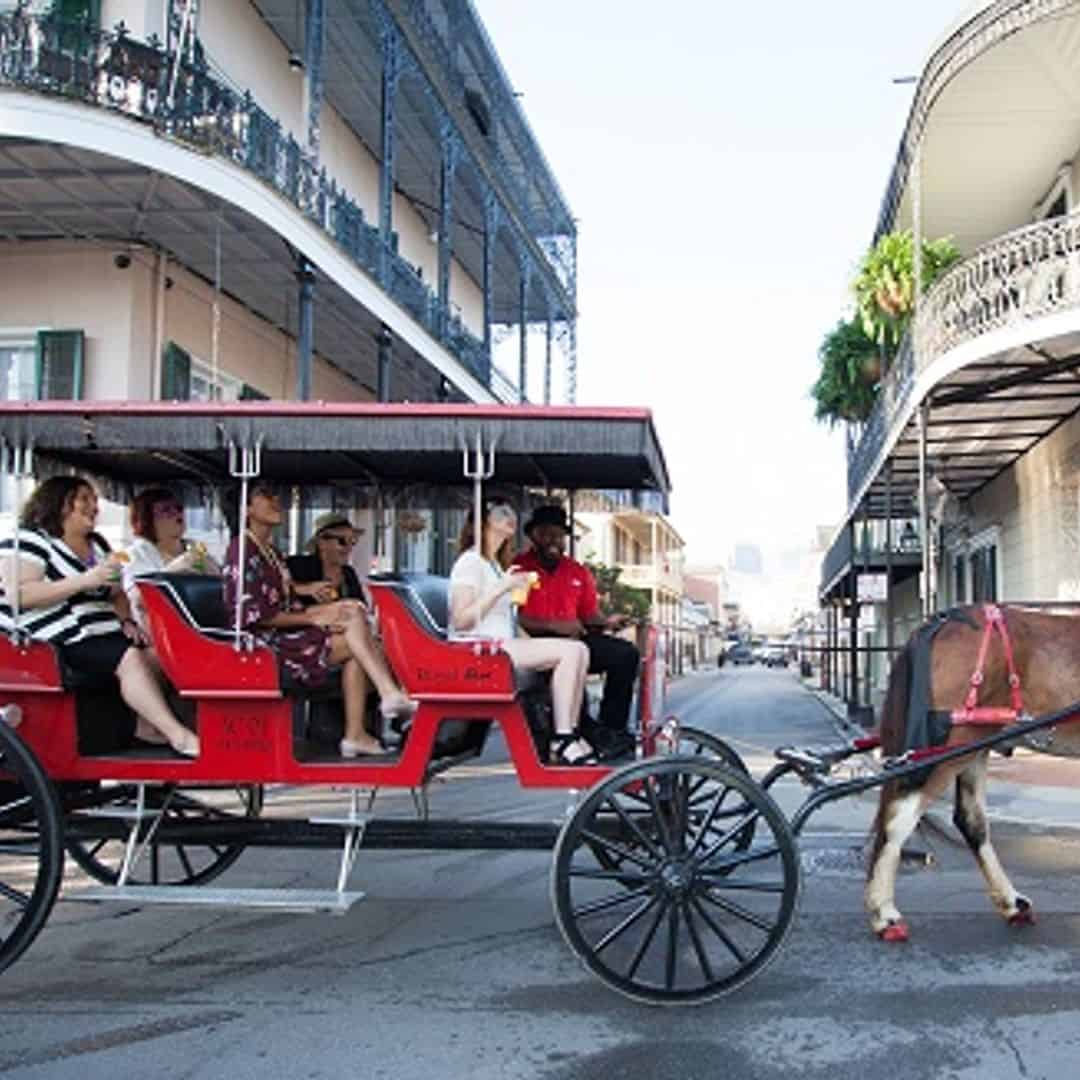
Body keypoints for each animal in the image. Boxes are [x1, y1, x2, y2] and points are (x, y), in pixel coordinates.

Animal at [864, 604, 1080, 941]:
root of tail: (941, 623)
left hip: (974, 744)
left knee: (970, 820)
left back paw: (1012, 902)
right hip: (954, 742)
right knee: (899, 818)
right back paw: (884, 913)